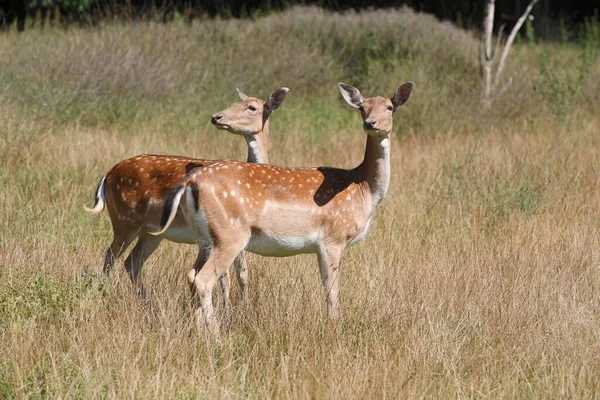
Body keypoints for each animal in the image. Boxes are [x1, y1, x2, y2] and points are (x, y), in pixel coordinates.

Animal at [84, 86, 288, 304]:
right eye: (234, 103)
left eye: (252, 107)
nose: (217, 117)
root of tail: (107, 175)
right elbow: (234, 276)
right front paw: (234, 307)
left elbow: (237, 274)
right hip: (124, 221)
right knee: (110, 256)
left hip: (151, 231)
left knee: (132, 262)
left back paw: (146, 303)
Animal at [152, 79, 412, 332]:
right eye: (361, 108)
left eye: (390, 107)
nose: (371, 123)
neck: (364, 189)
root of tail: (190, 182)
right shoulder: (333, 239)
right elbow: (331, 291)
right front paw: (334, 326)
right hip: (230, 234)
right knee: (203, 280)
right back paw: (216, 336)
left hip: (205, 237)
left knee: (191, 274)